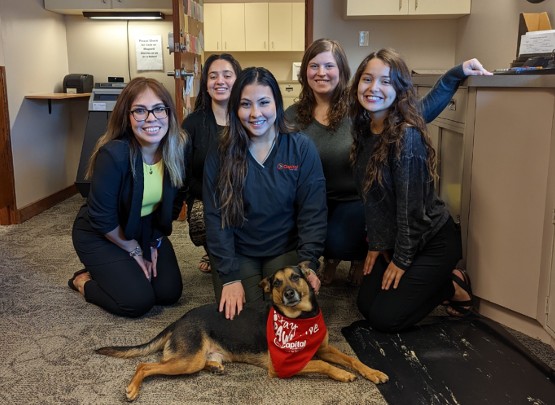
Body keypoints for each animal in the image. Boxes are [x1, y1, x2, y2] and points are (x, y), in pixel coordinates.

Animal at [96, 264, 390, 400]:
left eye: (296, 277)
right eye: (276, 283)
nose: (289, 293)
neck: (300, 319)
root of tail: (180, 320)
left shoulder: (325, 347)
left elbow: (352, 359)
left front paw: (373, 372)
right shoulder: (283, 365)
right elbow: (323, 365)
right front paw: (342, 374)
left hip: (196, 359)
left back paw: (215, 367)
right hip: (188, 360)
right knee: (145, 365)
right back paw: (132, 389)